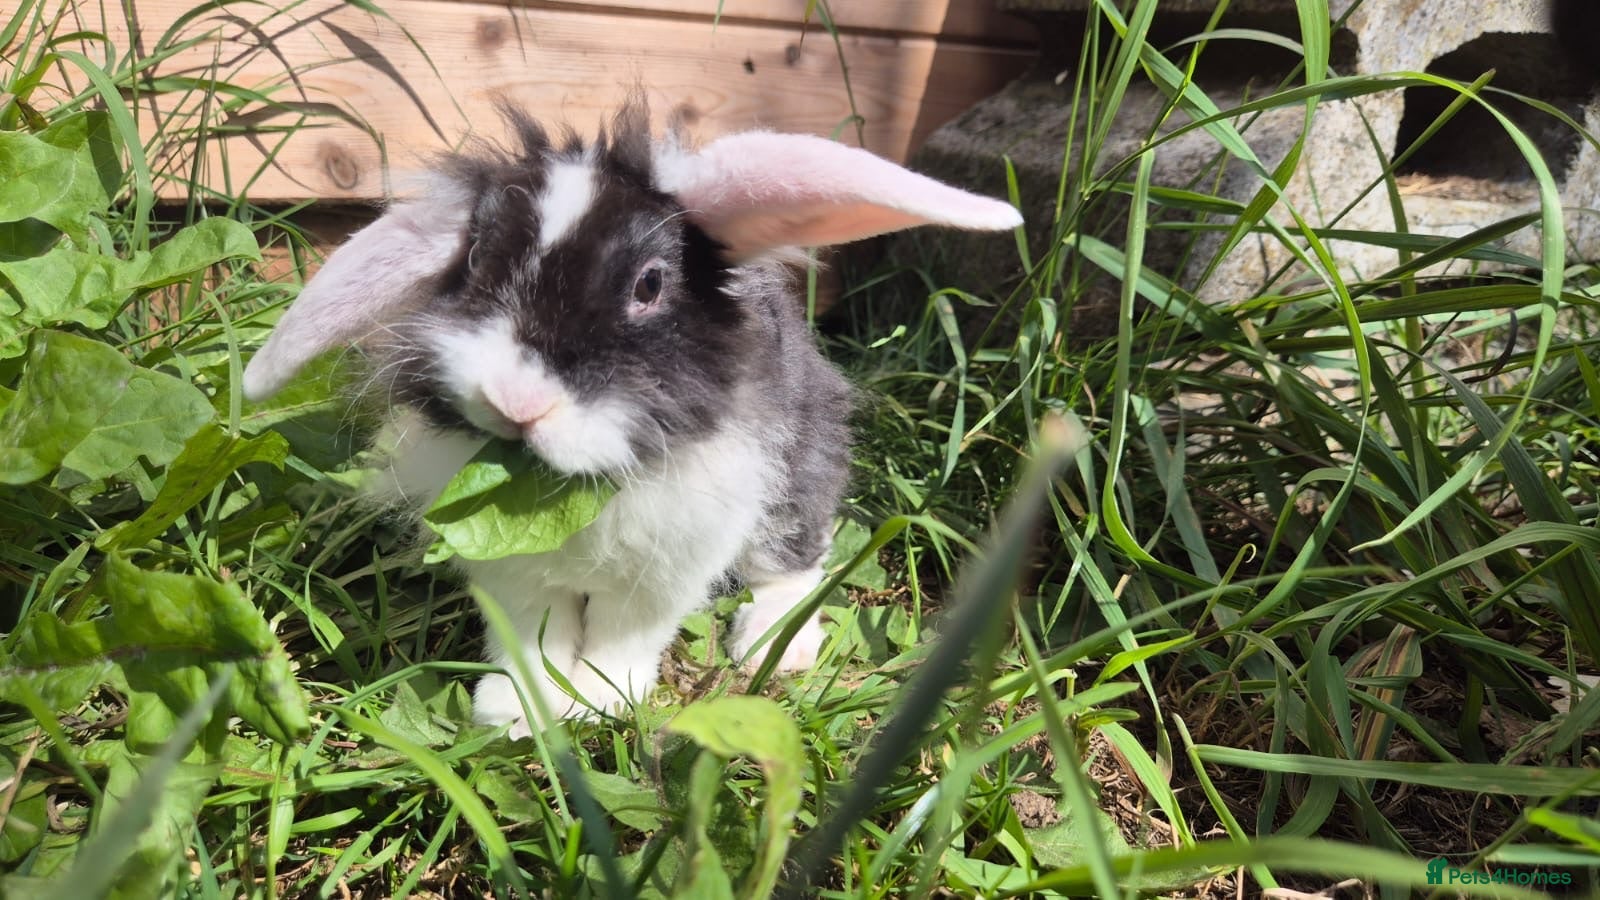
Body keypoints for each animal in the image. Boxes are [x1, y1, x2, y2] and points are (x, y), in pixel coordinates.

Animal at [241, 102, 1021, 738]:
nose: (515, 401)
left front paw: (601, 700)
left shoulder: (672, 561)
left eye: (649, 284)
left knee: (793, 563)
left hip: (799, 478)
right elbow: (531, 634)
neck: (570, 488)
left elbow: (627, 633)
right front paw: (517, 709)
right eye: (475, 260)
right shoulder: (511, 570)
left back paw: (772, 645)